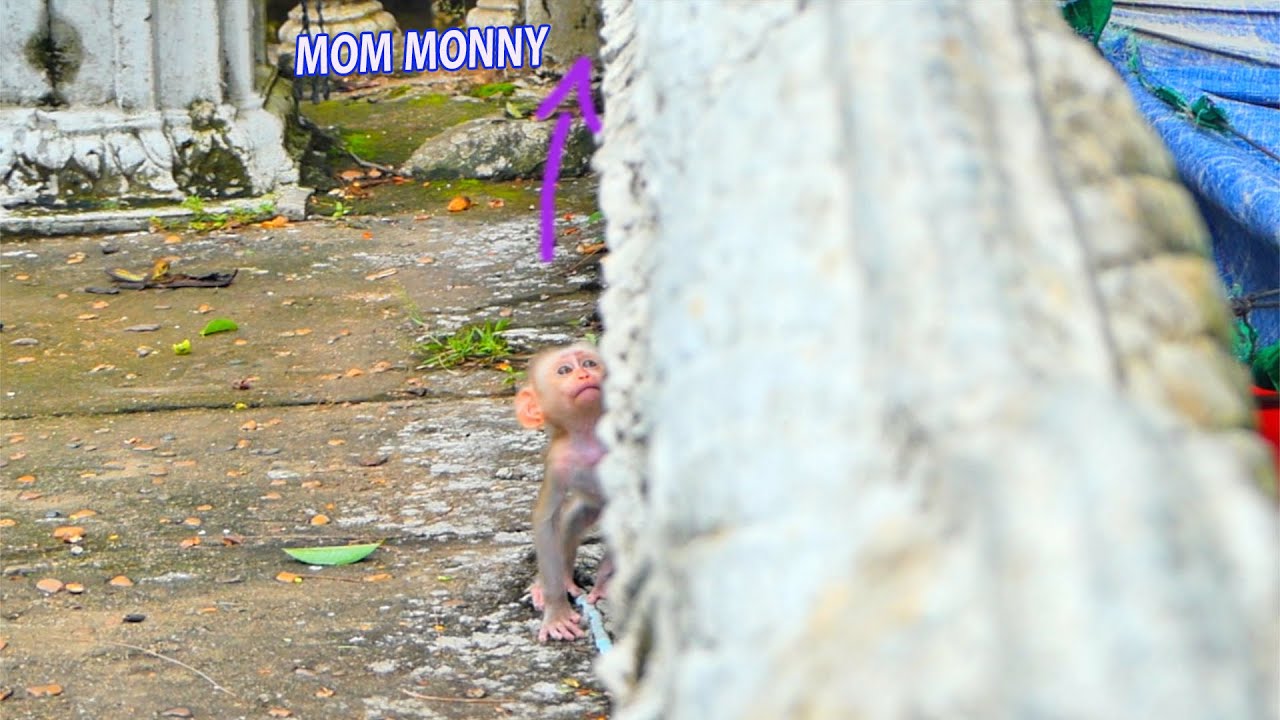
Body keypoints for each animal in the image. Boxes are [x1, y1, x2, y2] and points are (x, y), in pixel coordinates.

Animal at [514, 342, 613, 642]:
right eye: (564, 370)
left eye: (590, 363)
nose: (584, 374)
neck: (590, 436)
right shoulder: (557, 462)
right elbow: (546, 521)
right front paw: (556, 611)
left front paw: (604, 582)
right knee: (571, 518)